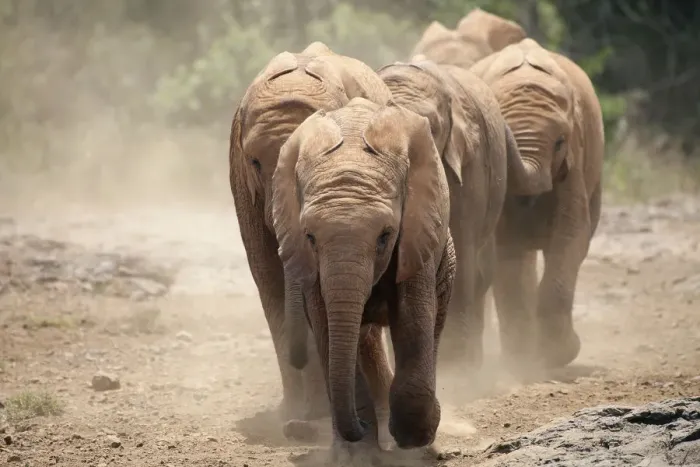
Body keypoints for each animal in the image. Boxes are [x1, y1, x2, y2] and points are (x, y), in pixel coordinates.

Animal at [271, 97, 456, 456]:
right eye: (310, 237)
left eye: (385, 236)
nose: (361, 426)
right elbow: (328, 328)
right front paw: (357, 452)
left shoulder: (416, 233)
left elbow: (414, 318)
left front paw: (412, 439)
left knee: (433, 325)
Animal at [469, 38, 605, 370]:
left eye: (559, 143)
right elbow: (506, 247)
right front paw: (524, 361)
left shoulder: (575, 156)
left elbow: (571, 235)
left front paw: (556, 355)